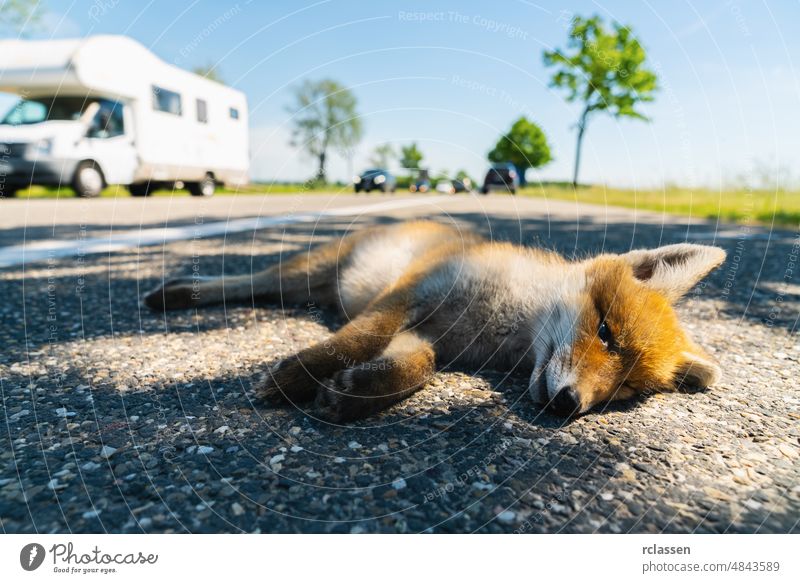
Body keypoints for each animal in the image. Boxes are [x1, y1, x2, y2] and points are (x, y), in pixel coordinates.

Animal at [142, 221, 724, 422]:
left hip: (312, 287)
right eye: (604, 332)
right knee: (250, 281)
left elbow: (415, 368)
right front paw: (293, 379)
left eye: (625, 391)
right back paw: (175, 294)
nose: (568, 404)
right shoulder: (411, 294)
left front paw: (351, 394)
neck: (501, 321)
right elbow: (356, 339)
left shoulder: (429, 337)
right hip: (309, 269)